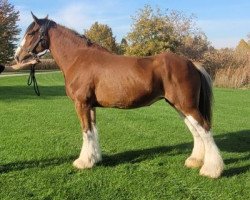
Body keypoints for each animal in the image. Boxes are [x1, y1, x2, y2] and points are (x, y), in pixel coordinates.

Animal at [13, 13, 224, 179]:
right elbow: (93, 131)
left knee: (205, 129)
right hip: (179, 106)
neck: (79, 58)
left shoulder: (81, 104)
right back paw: (195, 161)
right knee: (196, 131)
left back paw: (211, 170)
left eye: (31, 33)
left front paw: (83, 162)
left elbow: (86, 131)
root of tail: (191, 63)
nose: (17, 57)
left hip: (187, 106)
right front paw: (94, 159)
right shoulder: (90, 106)